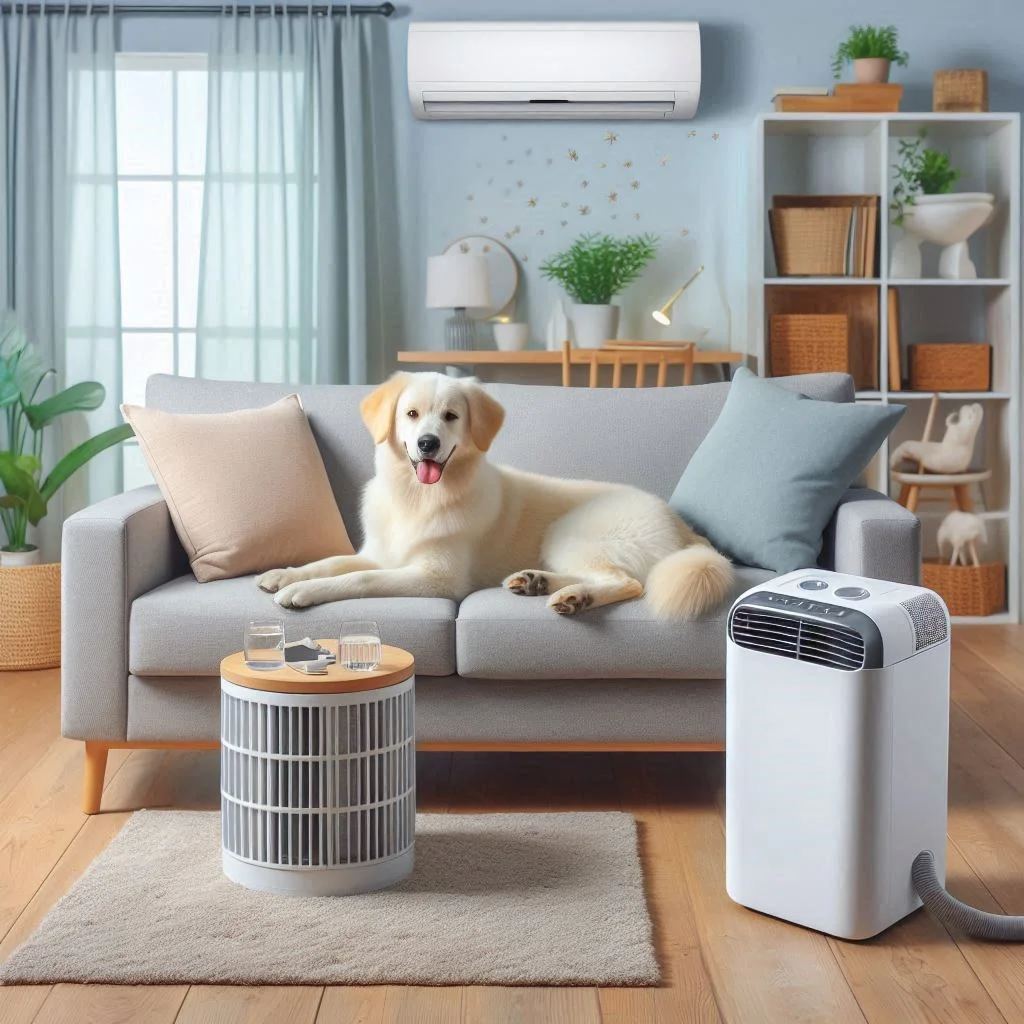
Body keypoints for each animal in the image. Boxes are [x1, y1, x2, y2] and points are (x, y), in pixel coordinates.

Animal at [256, 374, 737, 618]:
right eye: (411, 414)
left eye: (451, 416)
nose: (428, 443)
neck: (416, 498)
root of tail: (681, 525)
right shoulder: (380, 552)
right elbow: (333, 562)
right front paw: (284, 574)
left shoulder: (435, 578)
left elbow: (358, 580)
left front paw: (304, 591)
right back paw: (541, 584)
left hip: (570, 531)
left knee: (629, 582)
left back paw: (574, 597)